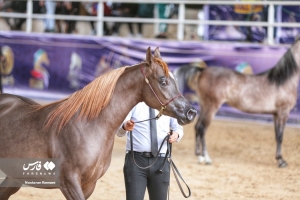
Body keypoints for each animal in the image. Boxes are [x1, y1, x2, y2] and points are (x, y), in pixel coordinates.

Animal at [0, 46, 197, 198]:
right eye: (163, 81)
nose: (191, 112)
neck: (89, 126)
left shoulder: (89, 185)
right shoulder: (69, 183)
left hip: (14, 178)